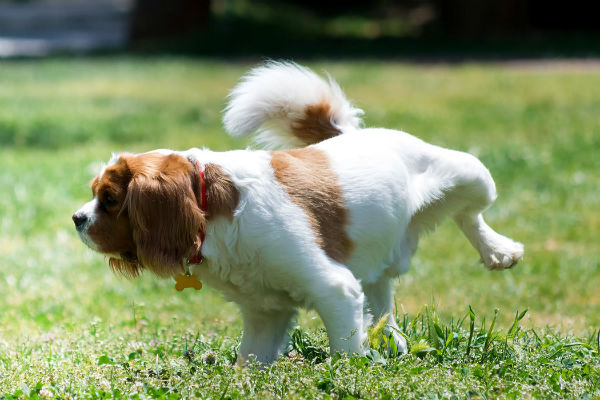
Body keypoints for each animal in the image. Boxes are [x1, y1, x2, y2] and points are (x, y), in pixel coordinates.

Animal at [72, 61, 524, 364]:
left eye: (109, 199)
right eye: (95, 195)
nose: (77, 218)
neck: (212, 211)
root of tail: (355, 134)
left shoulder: (335, 290)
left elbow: (345, 353)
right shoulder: (264, 315)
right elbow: (249, 361)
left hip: (471, 173)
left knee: (471, 213)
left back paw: (498, 251)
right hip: (378, 260)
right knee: (382, 300)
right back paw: (390, 341)